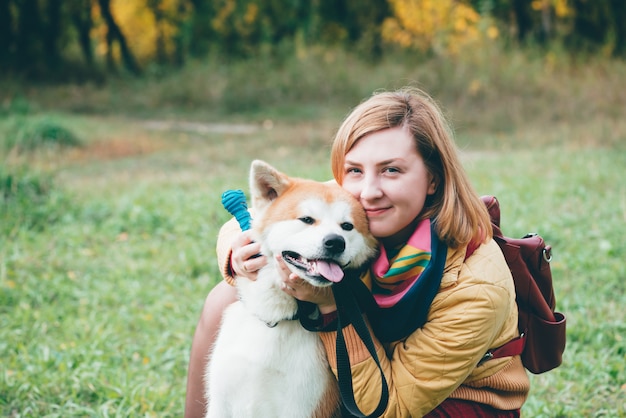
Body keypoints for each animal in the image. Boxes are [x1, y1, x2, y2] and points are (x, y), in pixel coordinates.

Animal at [206, 161, 376, 418]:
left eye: (347, 226)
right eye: (307, 219)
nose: (335, 242)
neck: (276, 320)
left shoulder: (303, 406)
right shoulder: (220, 404)